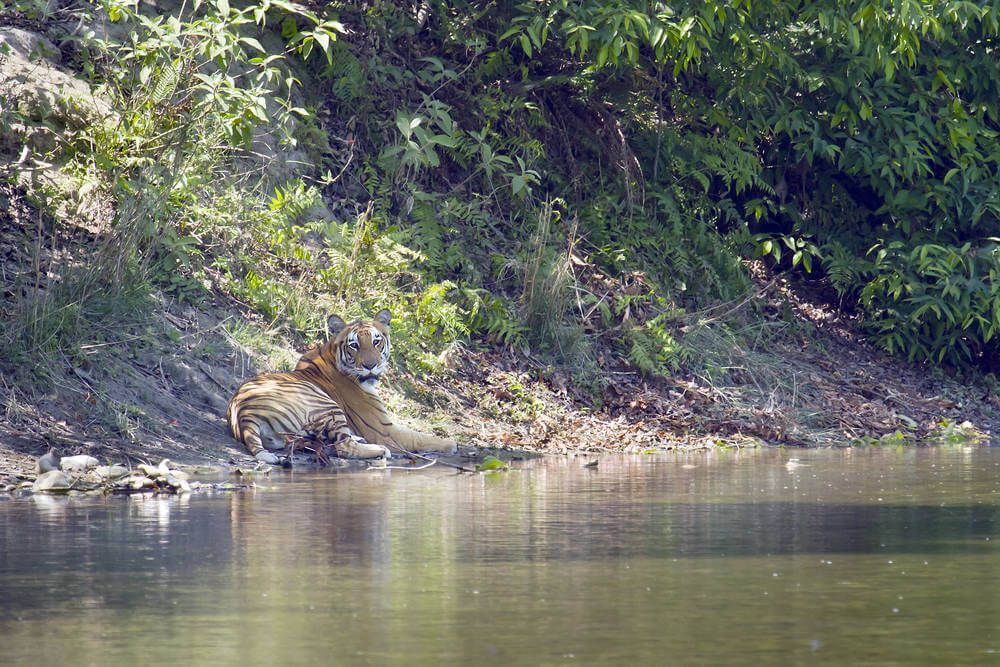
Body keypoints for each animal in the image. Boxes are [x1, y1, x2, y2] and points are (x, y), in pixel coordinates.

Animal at [227, 310, 458, 462]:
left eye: (376, 341)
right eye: (354, 345)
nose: (370, 365)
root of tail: (243, 413)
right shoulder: (384, 430)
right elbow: (420, 436)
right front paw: (451, 443)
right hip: (325, 404)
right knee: (343, 447)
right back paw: (379, 450)